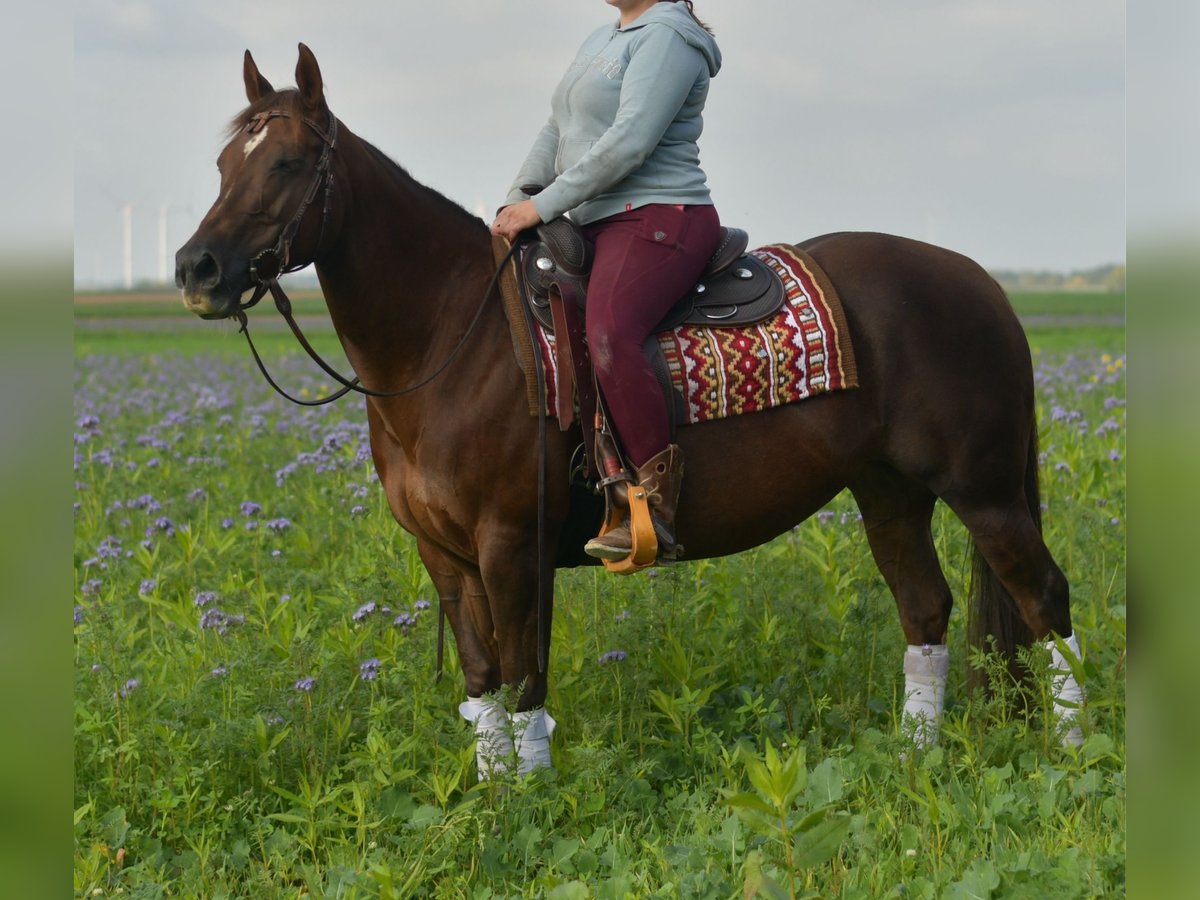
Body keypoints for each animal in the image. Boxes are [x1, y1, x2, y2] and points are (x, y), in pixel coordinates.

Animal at [175, 45, 1084, 775]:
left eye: (288, 164)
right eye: (221, 164)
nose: (196, 269)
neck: (449, 339)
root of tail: (979, 281)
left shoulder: (513, 545)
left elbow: (525, 678)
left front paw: (532, 804)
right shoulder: (444, 555)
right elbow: (482, 683)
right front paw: (489, 800)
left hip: (984, 491)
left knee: (1044, 599)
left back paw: (1077, 752)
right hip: (889, 491)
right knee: (925, 607)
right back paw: (915, 757)